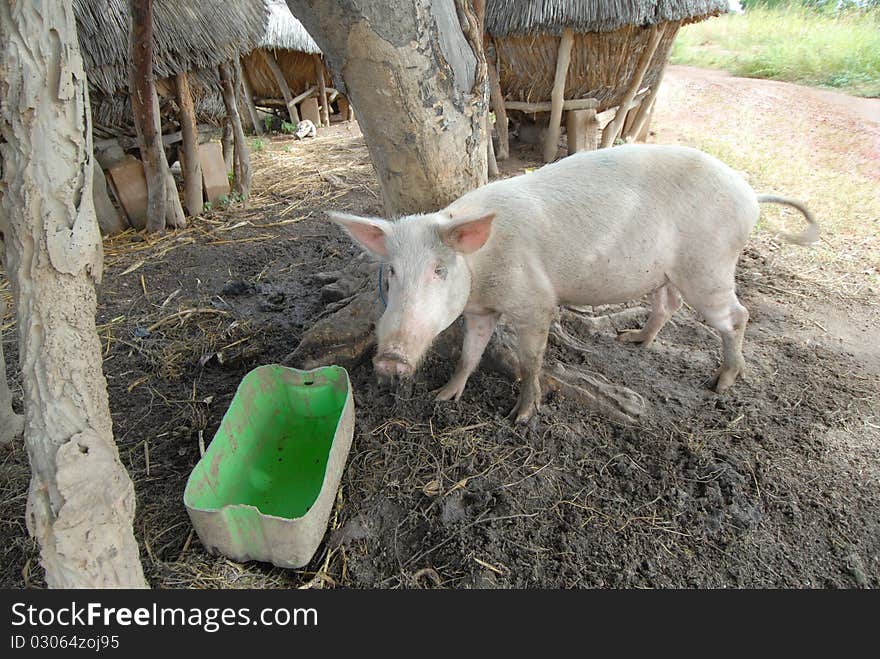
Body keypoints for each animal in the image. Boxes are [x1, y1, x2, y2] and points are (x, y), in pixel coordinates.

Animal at [330, 144, 820, 422]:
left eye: (439, 269)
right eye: (392, 272)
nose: (390, 359)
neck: (483, 270)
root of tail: (749, 192)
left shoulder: (534, 302)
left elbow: (531, 361)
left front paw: (521, 417)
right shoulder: (481, 310)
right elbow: (470, 353)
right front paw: (442, 397)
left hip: (710, 265)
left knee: (737, 316)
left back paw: (720, 384)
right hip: (673, 270)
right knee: (669, 303)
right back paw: (633, 340)